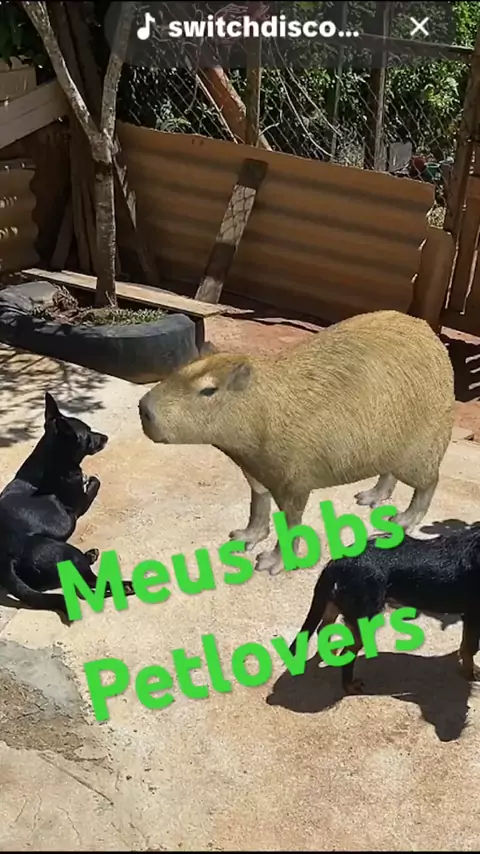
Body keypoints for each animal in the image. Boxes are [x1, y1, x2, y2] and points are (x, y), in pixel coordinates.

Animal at [0, 392, 133, 621]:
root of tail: (5, 561)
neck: (52, 457)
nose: (105, 437)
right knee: (90, 584)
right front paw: (91, 479)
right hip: (65, 551)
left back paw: (92, 556)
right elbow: (95, 483)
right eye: (88, 435)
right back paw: (124, 586)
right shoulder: (80, 504)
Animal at [138, 310, 455, 576]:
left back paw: (402, 520)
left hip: (423, 448)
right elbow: (258, 502)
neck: (268, 405)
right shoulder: (255, 470)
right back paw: (371, 497)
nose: (144, 409)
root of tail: (430, 333)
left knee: (429, 483)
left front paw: (270, 563)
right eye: (181, 368)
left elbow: (291, 522)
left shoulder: (294, 481)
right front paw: (245, 537)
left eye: (208, 391)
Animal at [289, 527, 480, 695]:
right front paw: (471, 674)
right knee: (347, 651)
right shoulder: (473, 615)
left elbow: (465, 645)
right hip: (363, 617)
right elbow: (470, 648)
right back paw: (349, 686)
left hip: (335, 605)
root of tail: (338, 562)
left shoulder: (468, 616)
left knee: (324, 629)